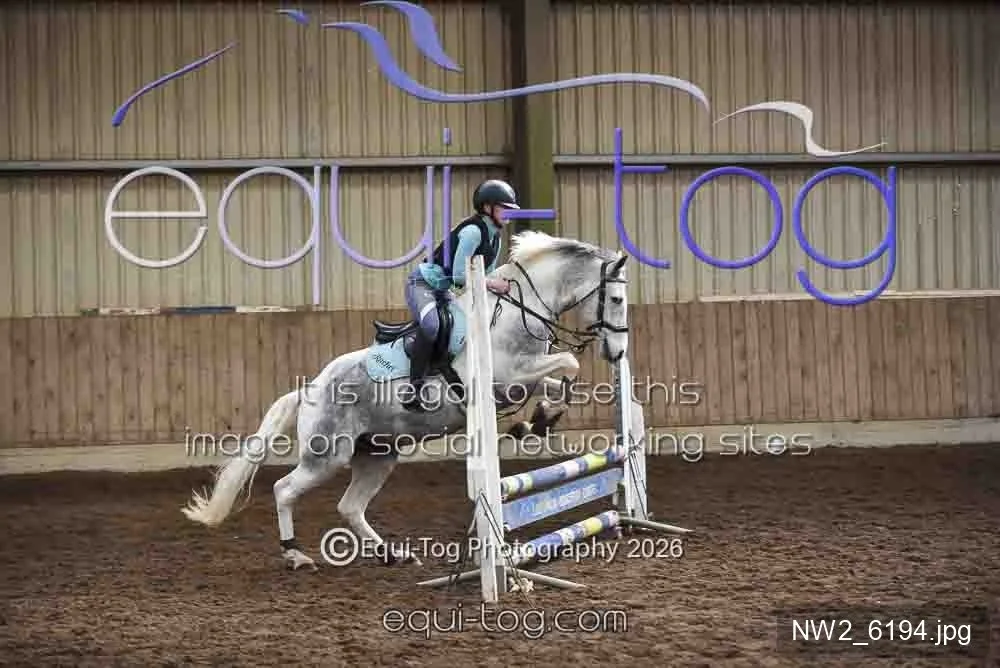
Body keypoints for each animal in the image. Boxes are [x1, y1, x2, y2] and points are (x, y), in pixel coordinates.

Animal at [181, 231, 631, 571]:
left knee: (350, 506)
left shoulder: (523, 379)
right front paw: (536, 421)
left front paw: (538, 421)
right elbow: (570, 362)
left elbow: (560, 380)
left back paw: (390, 553)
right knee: (284, 489)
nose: (618, 352)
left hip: (378, 456)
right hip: (325, 455)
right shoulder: (505, 379)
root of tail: (308, 390)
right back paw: (295, 555)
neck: (516, 311)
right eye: (616, 299)